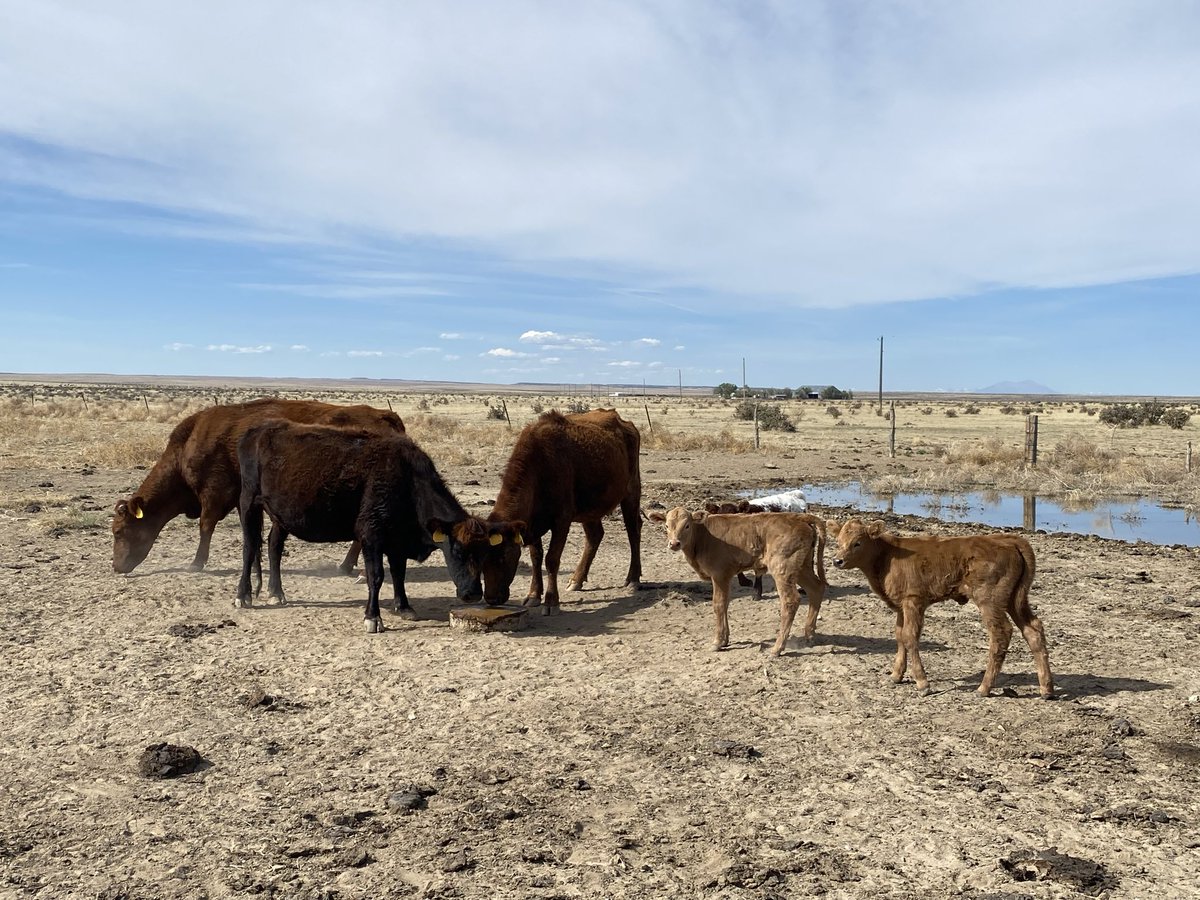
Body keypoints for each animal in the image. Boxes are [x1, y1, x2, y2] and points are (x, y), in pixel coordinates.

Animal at [111, 398, 404, 574]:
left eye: (118, 531)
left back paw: (349, 567)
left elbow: (206, 526)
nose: (116, 566)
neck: (189, 443)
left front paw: (197, 563)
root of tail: (384, 415)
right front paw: (254, 564)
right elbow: (248, 530)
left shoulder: (214, 494)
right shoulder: (243, 499)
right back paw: (347, 566)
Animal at [235, 421, 523, 632]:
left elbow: (399, 574)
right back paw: (244, 595)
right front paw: (373, 618)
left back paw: (276, 592)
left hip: (280, 516)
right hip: (249, 502)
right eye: (457, 552)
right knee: (250, 547)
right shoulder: (371, 537)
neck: (407, 480)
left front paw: (404, 607)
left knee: (274, 545)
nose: (473, 594)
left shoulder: (398, 542)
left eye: (485, 554)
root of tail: (257, 431)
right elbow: (377, 576)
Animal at [485, 409, 642, 613]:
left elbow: (552, 559)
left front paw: (551, 601)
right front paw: (533, 595)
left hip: (631, 492)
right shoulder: (531, 525)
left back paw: (633, 578)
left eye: (504, 556)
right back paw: (577, 579)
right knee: (595, 536)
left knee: (633, 530)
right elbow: (536, 557)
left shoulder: (561, 521)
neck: (540, 465)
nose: (491, 598)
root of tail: (624, 422)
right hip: (590, 509)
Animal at [655, 507, 827, 656]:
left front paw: (717, 642)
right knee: (816, 589)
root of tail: (798, 517)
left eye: (687, 525)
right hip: (802, 567)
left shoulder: (718, 574)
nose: (674, 543)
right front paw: (725, 640)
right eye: (666, 526)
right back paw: (809, 635)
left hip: (782, 568)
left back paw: (777, 648)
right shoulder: (726, 576)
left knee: (790, 601)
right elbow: (725, 603)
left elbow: (718, 604)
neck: (702, 537)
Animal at [830, 518, 1054, 698]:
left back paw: (984, 688)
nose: (837, 560)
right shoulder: (901, 606)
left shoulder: (913, 601)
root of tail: (1009, 540)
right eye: (838, 542)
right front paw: (896, 675)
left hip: (990, 600)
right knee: (1033, 630)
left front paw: (922, 683)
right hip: (1015, 600)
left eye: (857, 543)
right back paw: (1046, 689)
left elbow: (910, 637)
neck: (888, 556)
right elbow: (900, 635)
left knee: (1001, 634)